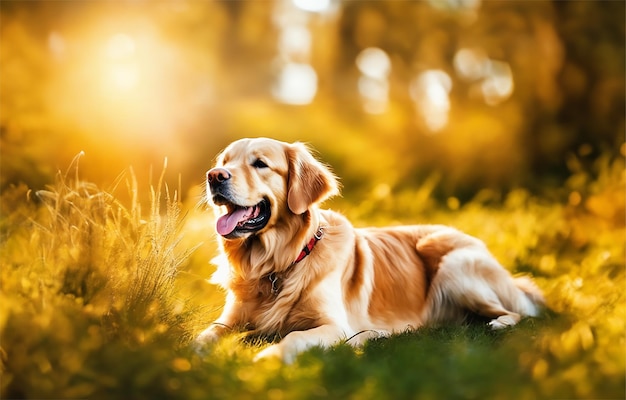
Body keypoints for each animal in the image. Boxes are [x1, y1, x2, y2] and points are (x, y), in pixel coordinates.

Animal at [195, 137, 540, 362]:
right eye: (224, 162)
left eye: (260, 164)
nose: (214, 177)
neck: (276, 265)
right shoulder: (229, 320)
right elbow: (204, 335)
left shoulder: (334, 326)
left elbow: (294, 337)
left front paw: (268, 357)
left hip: (453, 265)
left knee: (519, 312)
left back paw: (498, 323)